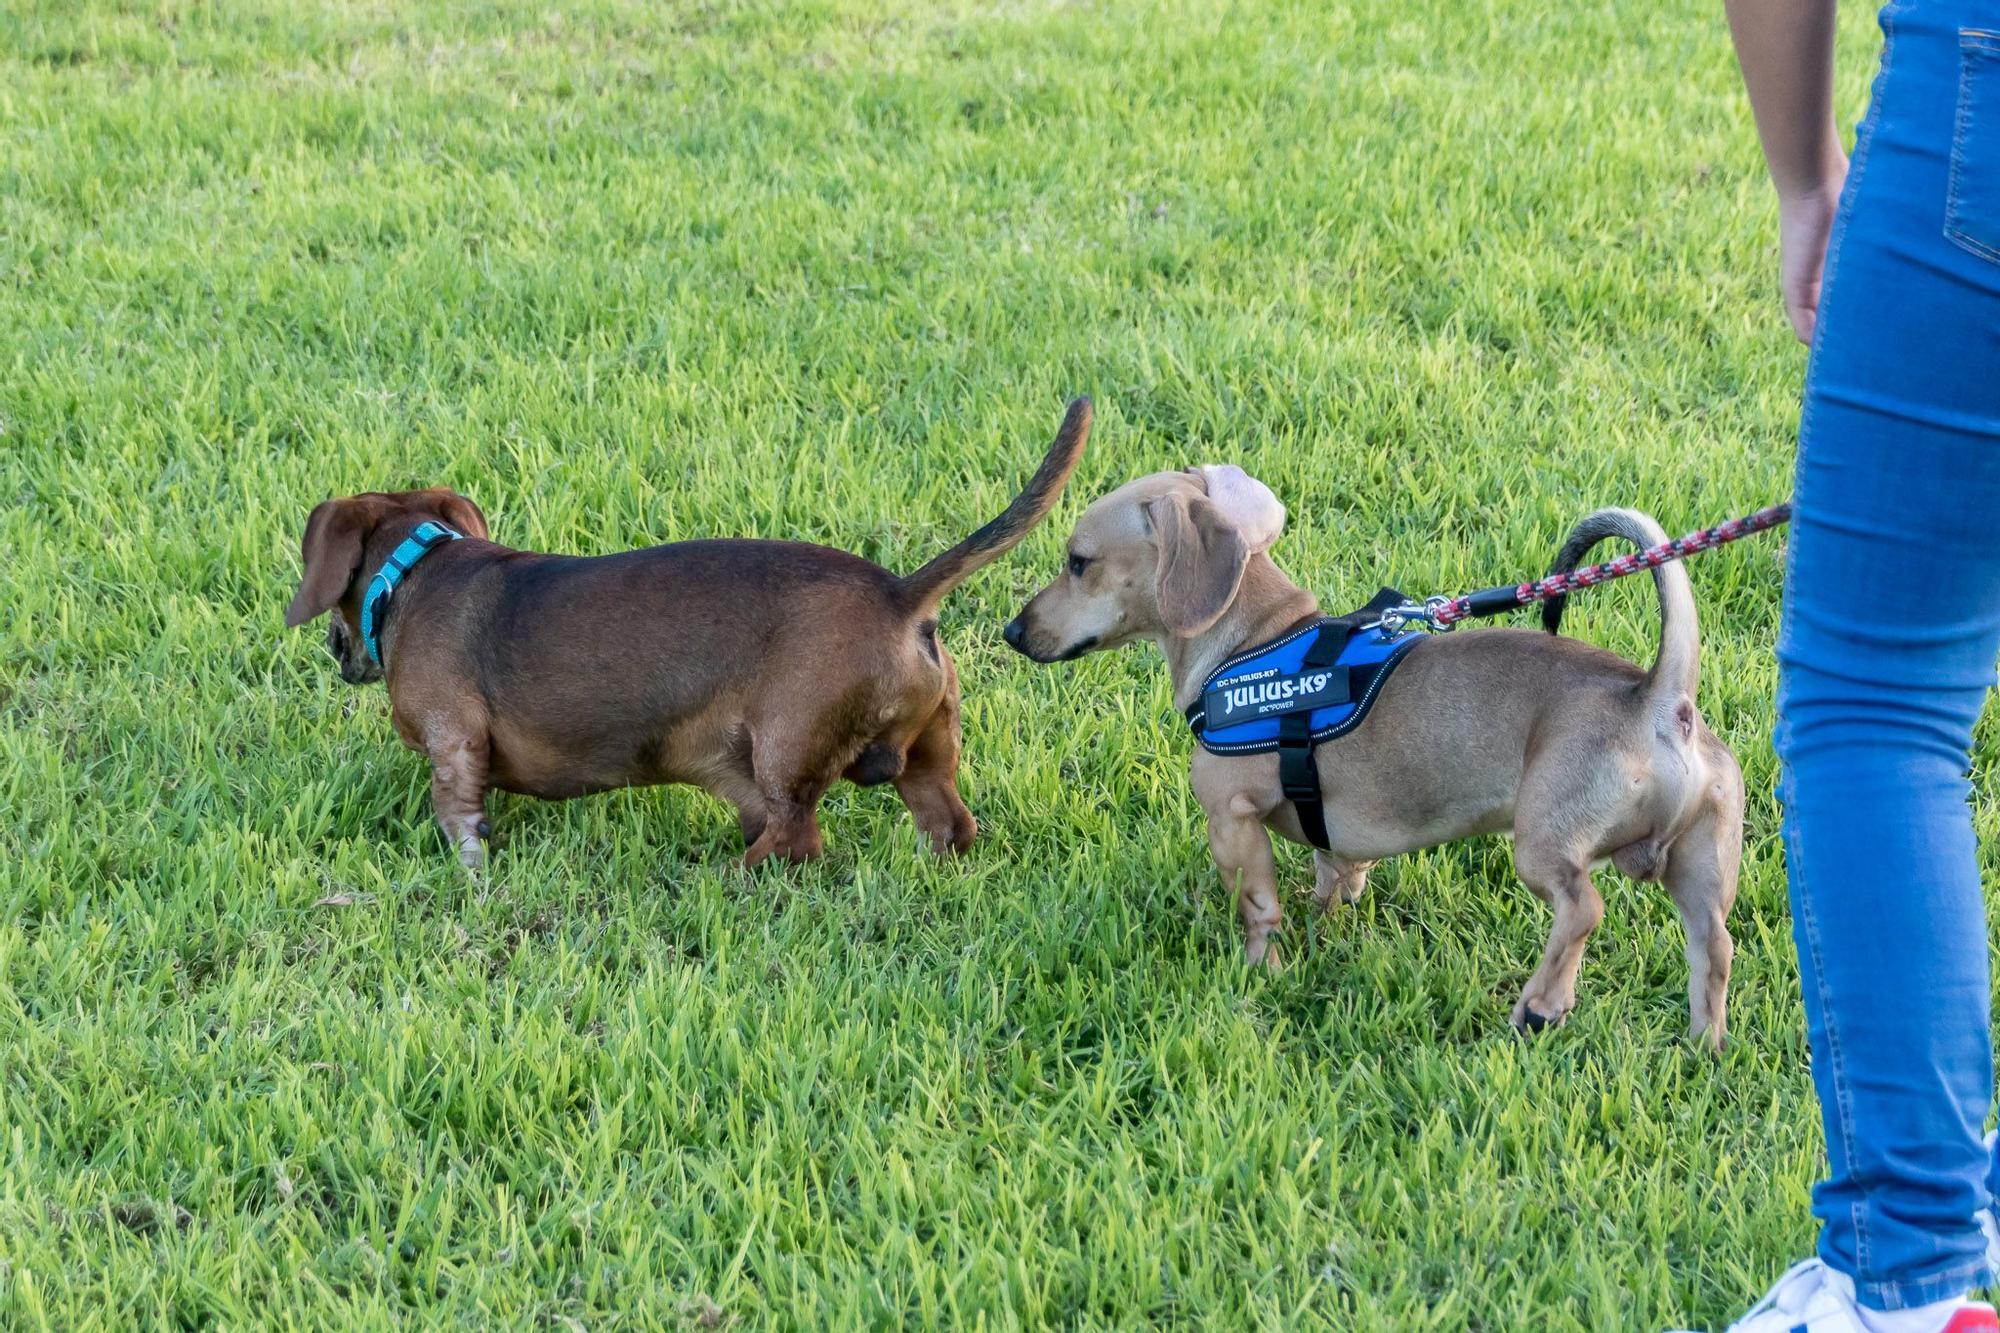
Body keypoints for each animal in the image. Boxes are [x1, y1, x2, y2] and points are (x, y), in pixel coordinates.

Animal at [288, 400, 1088, 868]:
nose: (334, 650)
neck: (415, 569)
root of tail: (899, 595)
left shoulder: (454, 747)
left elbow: (459, 819)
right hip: (927, 754)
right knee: (950, 824)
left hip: (785, 750)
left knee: (797, 838)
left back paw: (735, 878)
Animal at [1008, 462, 1744, 1040]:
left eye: (1078, 562)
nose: (1013, 631)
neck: (1252, 641)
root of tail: (1658, 697)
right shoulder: (1335, 840)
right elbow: (1334, 877)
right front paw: (1320, 927)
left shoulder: (1233, 819)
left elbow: (1259, 908)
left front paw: (1263, 972)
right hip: (1701, 866)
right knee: (1714, 945)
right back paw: (1703, 1044)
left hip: (1544, 843)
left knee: (1583, 908)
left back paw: (1542, 1003)